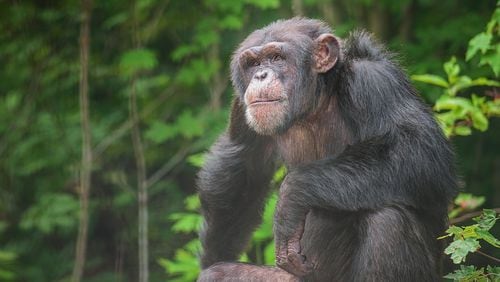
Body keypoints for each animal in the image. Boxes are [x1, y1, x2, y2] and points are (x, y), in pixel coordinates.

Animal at [194, 18, 458, 282]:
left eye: (277, 58)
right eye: (253, 63)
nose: (260, 75)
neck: (314, 103)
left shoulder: (375, 81)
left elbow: (419, 150)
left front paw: (291, 197)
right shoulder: (241, 107)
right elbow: (242, 163)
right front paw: (214, 254)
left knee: (389, 221)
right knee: (216, 274)